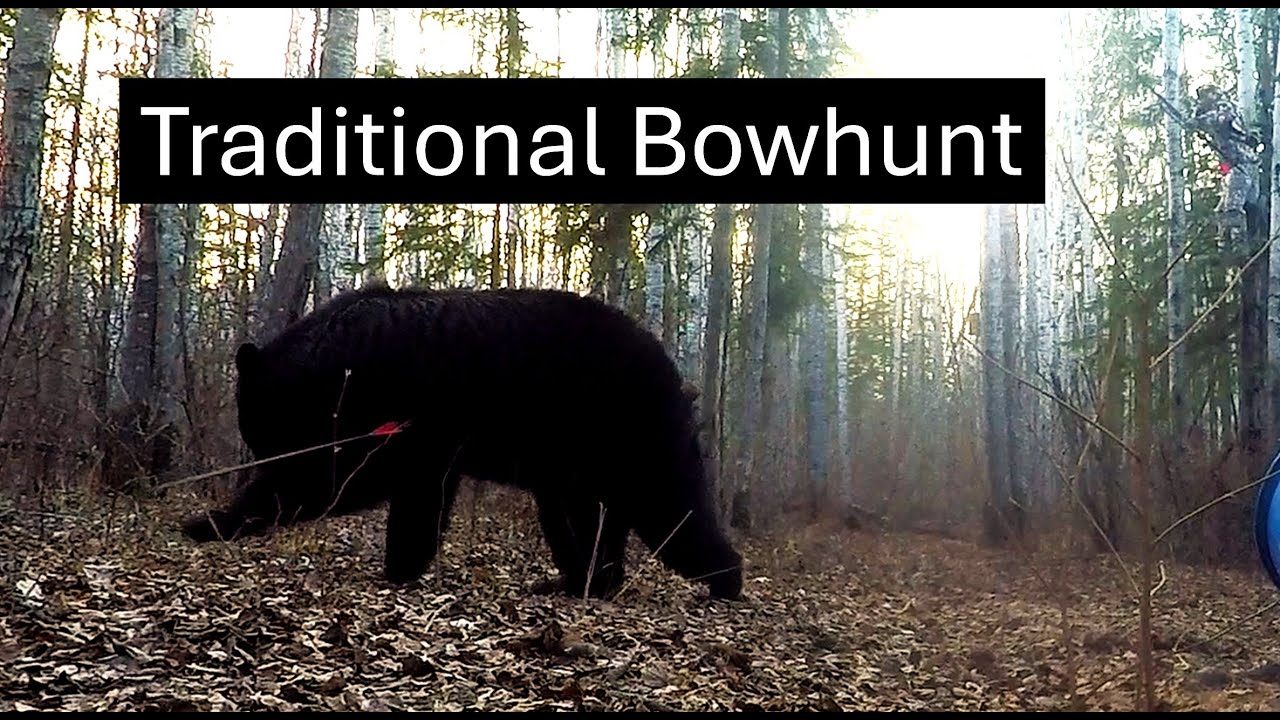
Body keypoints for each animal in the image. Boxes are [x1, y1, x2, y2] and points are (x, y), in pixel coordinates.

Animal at [182, 286, 743, 601]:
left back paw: (724, 583)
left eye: (255, 423)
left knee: (672, 508)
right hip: (575, 464)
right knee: (583, 519)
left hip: (632, 435)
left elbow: (366, 484)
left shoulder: (411, 417)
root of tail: (675, 372)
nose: (257, 455)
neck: (344, 359)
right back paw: (577, 583)